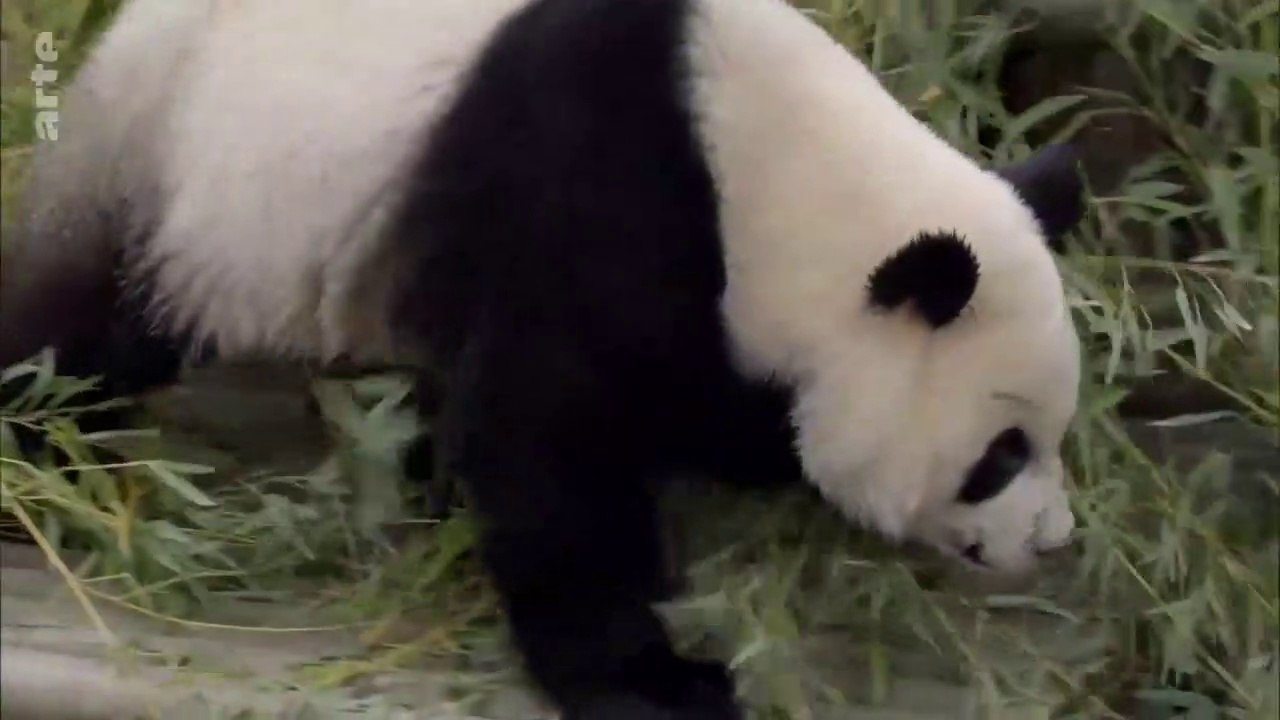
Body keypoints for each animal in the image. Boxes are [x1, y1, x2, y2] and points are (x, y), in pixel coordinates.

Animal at [0, 0, 1087, 718]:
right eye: (999, 454)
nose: (1054, 542)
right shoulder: (591, 186)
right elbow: (550, 441)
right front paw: (658, 681)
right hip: (186, 181)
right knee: (77, 326)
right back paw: (41, 457)